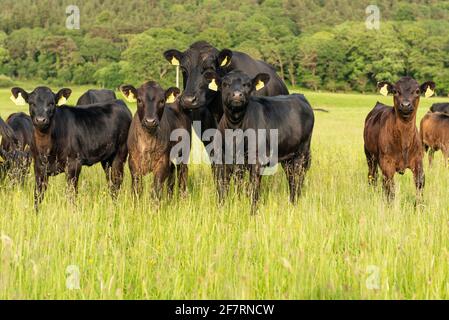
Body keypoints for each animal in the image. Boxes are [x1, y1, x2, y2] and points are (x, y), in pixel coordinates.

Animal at [208, 71, 314, 214]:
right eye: (225, 84)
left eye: (247, 84)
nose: (237, 94)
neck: (236, 127)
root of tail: (299, 95)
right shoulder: (223, 159)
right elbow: (223, 187)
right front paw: (222, 210)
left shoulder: (257, 159)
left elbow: (253, 188)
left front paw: (252, 213)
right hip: (287, 157)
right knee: (291, 177)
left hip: (302, 152)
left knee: (298, 178)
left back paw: (295, 202)